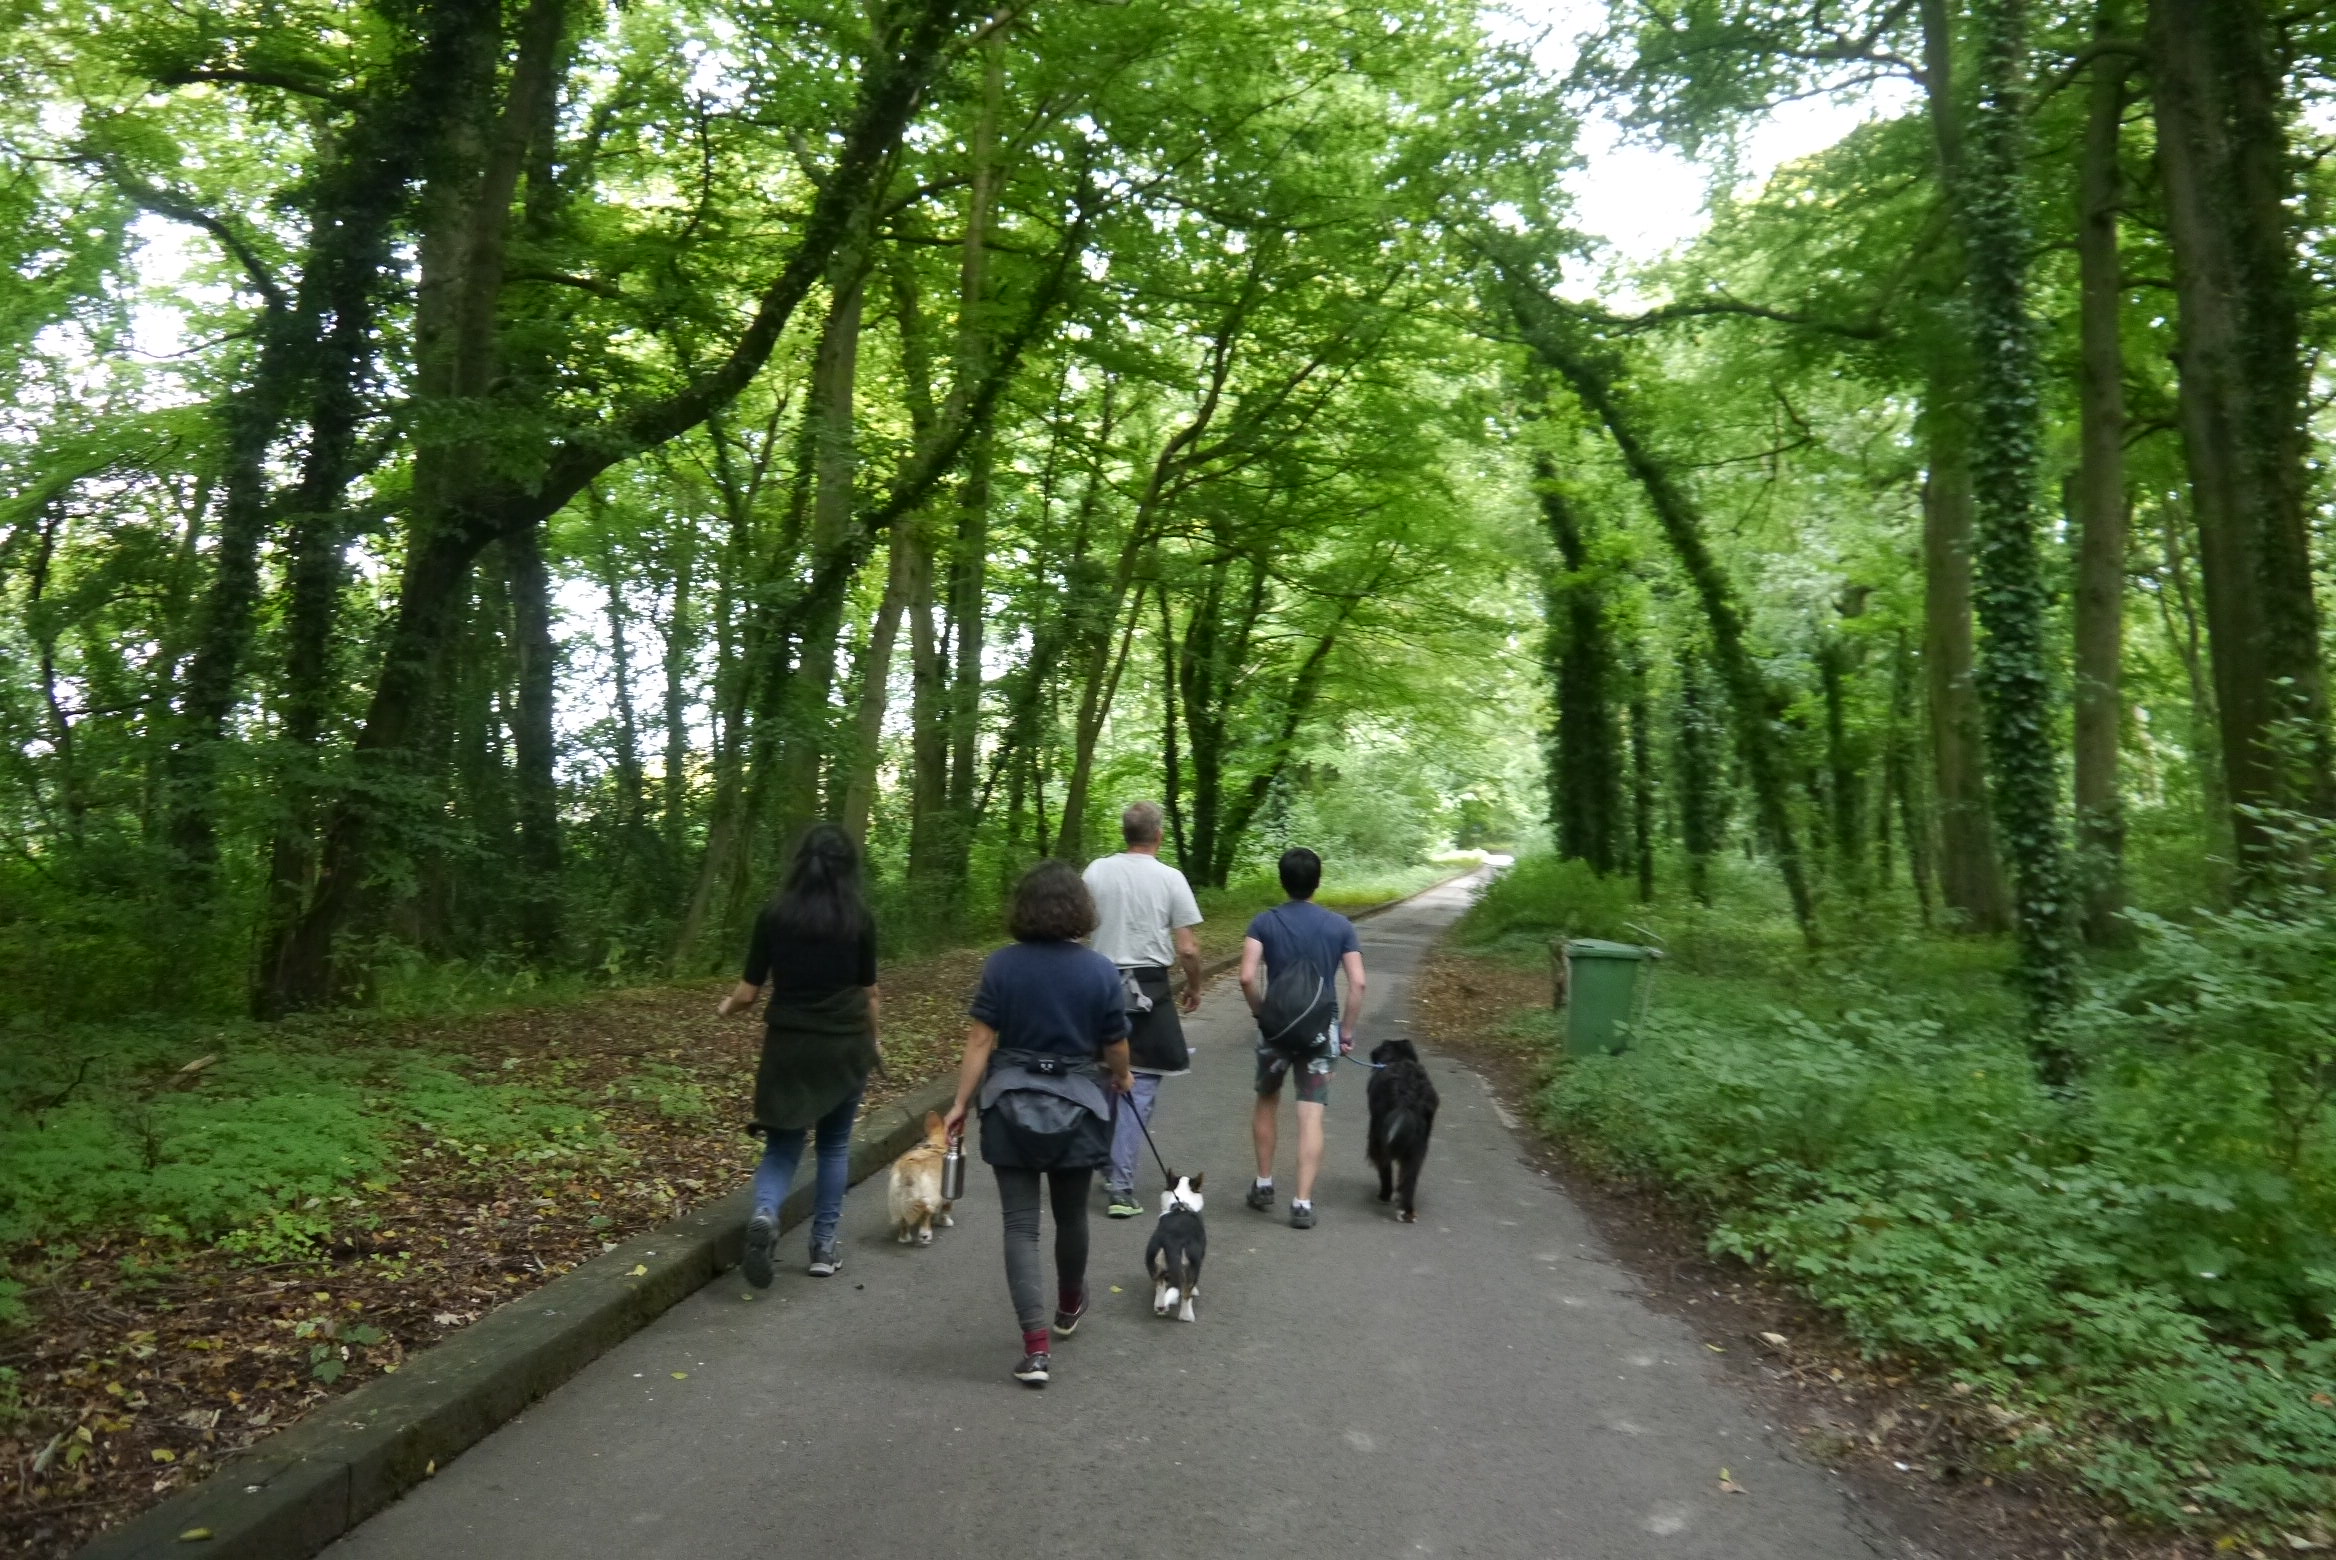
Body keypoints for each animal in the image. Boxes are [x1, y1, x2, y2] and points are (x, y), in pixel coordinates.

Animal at [886, 1111, 956, 1245]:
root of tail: (909, 1169)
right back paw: (925, 1235)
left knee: (903, 1220)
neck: (939, 1145)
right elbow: (946, 1209)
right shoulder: (948, 1194)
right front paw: (946, 1222)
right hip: (929, 1197)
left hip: (898, 1200)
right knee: (925, 1214)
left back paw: (904, 1238)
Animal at [1145, 1173, 1206, 1322]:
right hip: (1193, 1264)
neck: (1181, 1204)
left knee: (1160, 1286)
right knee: (1186, 1293)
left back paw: (1160, 1307)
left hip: (1153, 1260)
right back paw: (1187, 1316)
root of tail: (1171, 1241)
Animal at [1366, 1038, 1439, 1222]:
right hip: (1419, 1145)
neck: (1398, 1058)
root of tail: (1408, 1097)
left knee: (1385, 1166)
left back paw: (1385, 1195)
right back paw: (1407, 1211)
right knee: (1410, 1178)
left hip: (1380, 1136)